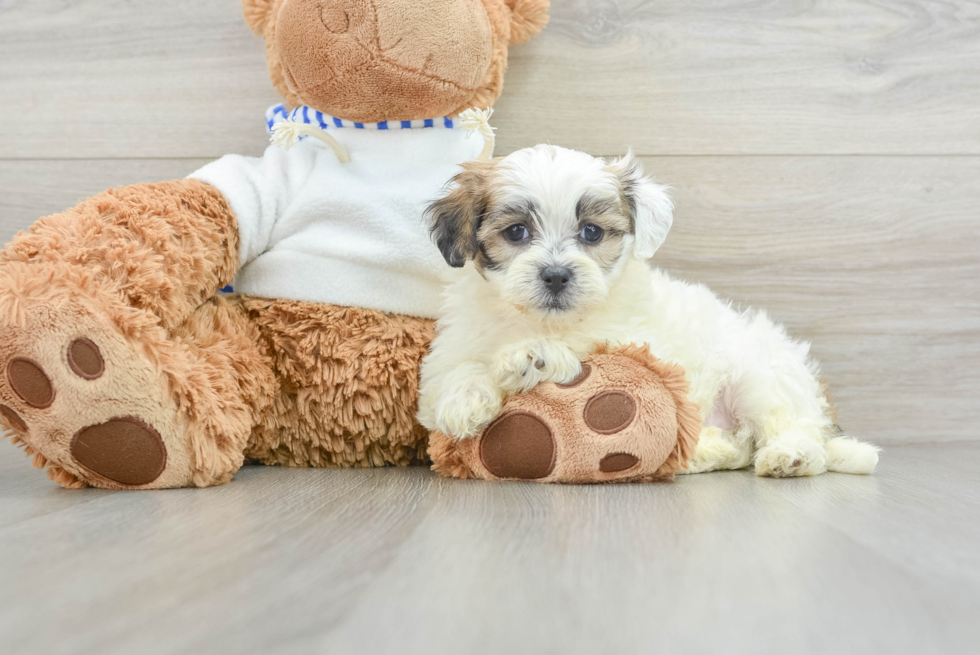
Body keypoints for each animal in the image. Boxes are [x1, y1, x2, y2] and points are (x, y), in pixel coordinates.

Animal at [418, 145, 876, 476]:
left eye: (591, 232)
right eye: (516, 232)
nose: (556, 275)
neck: (542, 321)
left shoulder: (635, 341)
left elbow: (586, 351)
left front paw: (533, 357)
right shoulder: (454, 346)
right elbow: (455, 370)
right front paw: (464, 400)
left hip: (761, 376)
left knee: (791, 426)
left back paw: (791, 456)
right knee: (738, 446)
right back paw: (707, 451)